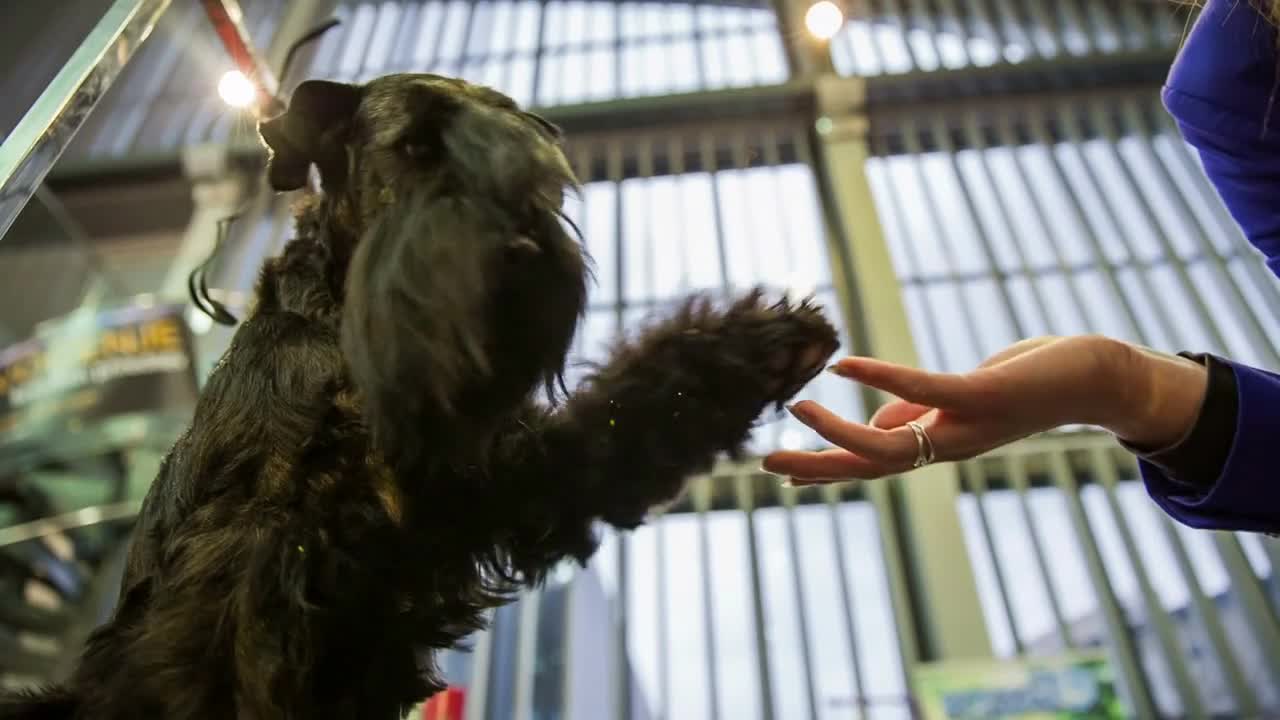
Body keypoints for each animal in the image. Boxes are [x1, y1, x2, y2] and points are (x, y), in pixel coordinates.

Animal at [2, 74, 839, 717]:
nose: (522, 247)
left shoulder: (507, 482)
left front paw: (766, 344)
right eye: (413, 146)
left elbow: (619, 418)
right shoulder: (247, 575)